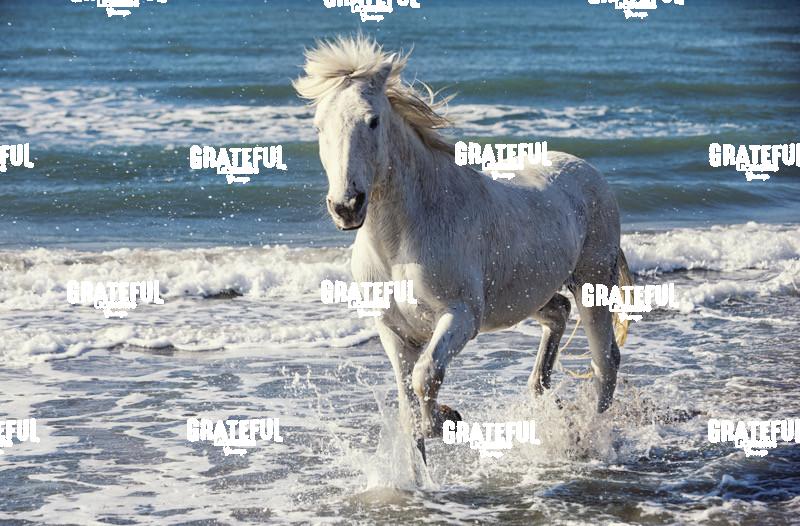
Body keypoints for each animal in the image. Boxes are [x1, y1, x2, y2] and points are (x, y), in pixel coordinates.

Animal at [294, 35, 632, 462]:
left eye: (372, 120)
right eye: (318, 126)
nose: (346, 206)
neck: (401, 242)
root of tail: (587, 170)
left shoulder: (461, 317)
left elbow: (425, 376)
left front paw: (448, 418)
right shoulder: (393, 330)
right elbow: (408, 408)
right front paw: (431, 439)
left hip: (592, 285)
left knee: (605, 361)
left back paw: (585, 435)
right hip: (523, 294)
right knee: (557, 312)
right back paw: (546, 398)